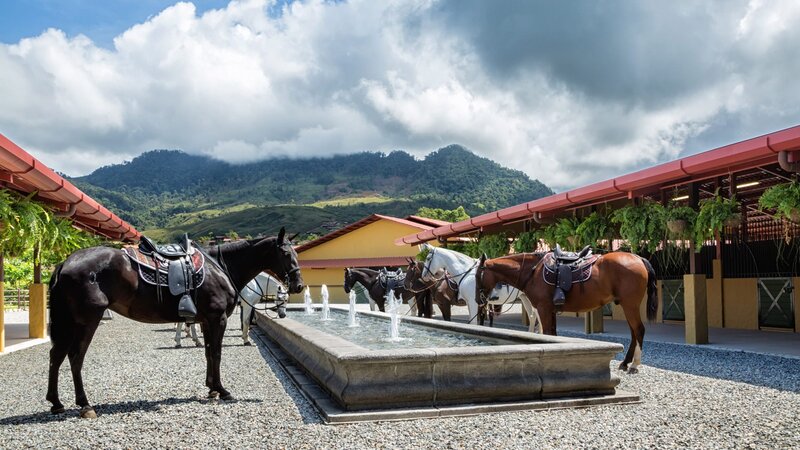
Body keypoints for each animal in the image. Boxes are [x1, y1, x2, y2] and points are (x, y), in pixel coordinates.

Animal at [47, 229, 304, 418]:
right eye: (285, 253)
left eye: (295, 252)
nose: (298, 285)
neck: (219, 267)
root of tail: (66, 263)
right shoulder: (217, 318)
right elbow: (217, 353)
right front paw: (222, 390)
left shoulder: (206, 321)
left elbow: (208, 353)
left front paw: (211, 388)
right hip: (86, 321)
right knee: (75, 357)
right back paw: (85, 405)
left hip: (69, 322)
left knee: (56, 356)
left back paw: (56, 402)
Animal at [476, 246, 656, 372]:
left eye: (478, 275)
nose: (479, 299)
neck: (532, 271)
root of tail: (638, 258)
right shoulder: (549, 310)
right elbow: (552, 334)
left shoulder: (543, 309)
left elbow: (547, 334)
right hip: (628, 305)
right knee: (633, 332)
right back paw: (625, 362)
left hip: (630, 305)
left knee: (639, 330)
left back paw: (634, 365)